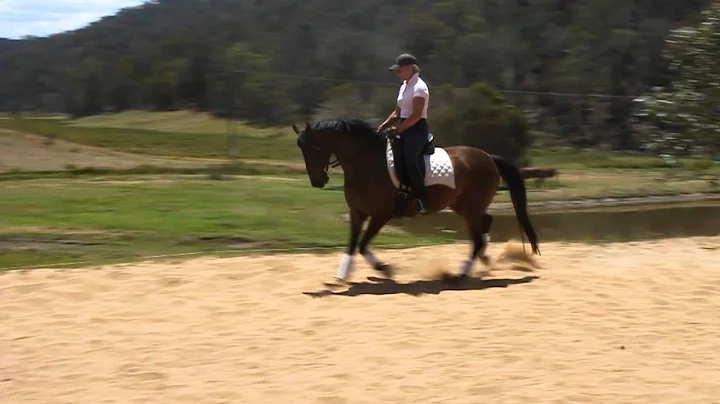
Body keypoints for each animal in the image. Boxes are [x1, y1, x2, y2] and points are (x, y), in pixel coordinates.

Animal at [292, 119, 540, 284]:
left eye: (314, 147)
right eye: (301, 150)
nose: (318, 181)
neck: (366, 162)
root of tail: (488, 157)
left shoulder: (381, 215)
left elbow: (362, 245)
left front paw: (385, 269)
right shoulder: (357, 212)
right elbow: (353, 245)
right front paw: (343, 274)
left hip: (470, 208)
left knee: (478, 238)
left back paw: (462, 273)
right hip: (465, 206)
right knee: (485, 224)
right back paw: (485, 260)